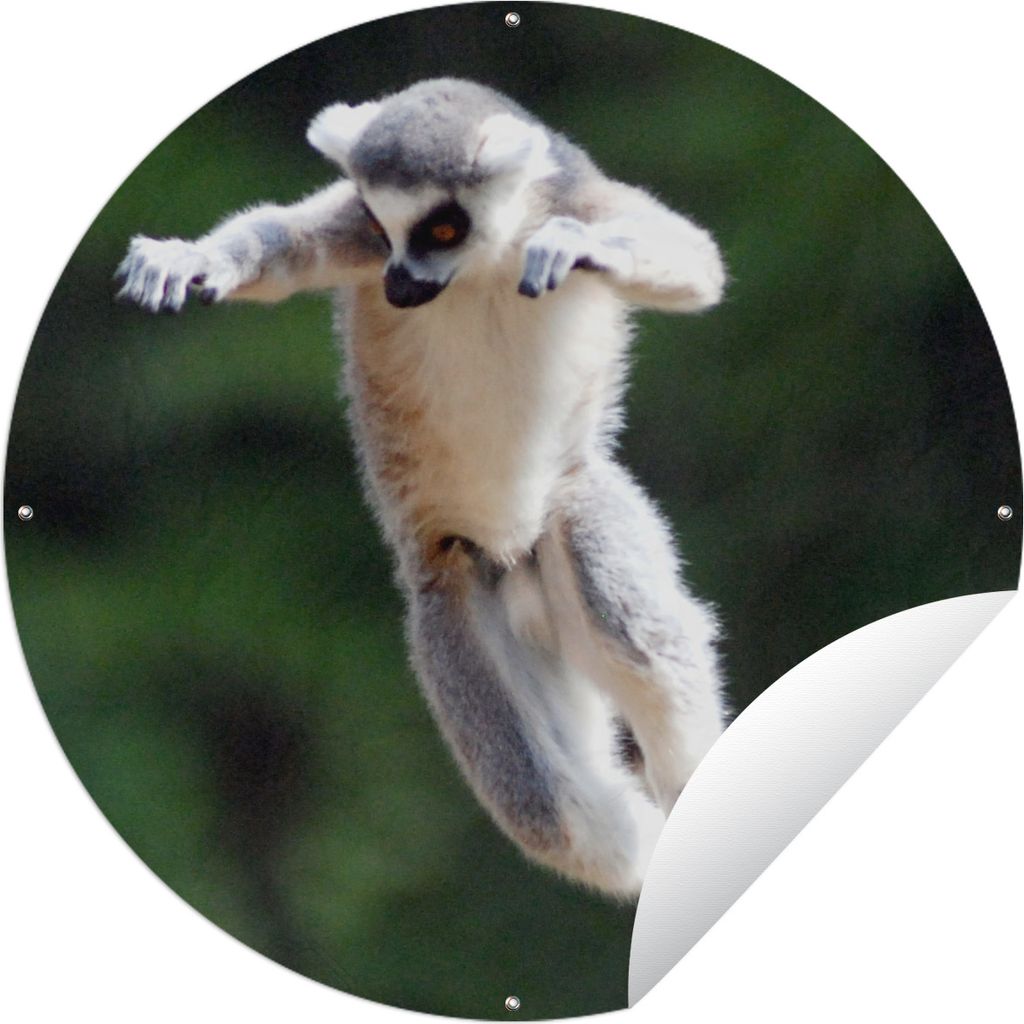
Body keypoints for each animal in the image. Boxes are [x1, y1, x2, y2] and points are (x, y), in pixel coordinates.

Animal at [116, 78, 727, 898]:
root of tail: (517, 571)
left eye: (442, 226)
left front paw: (582, 247)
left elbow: (695, 262)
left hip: (575, 505)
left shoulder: (579, 195)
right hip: (457, 605)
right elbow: (286, 242)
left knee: (638, 635)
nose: (401, 284)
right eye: (383, 223)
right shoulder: (356, 238)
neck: (489, 258)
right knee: (546, 802)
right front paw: (190, 259)